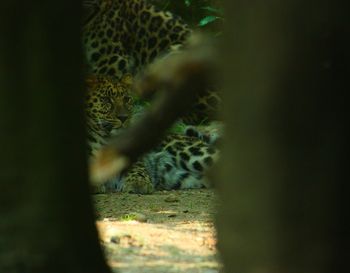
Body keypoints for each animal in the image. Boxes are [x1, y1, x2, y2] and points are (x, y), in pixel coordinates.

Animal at [85, 74, 220, 193]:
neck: (107, 138)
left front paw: (139, 182)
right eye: (106, 100)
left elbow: (137, 168)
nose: (123, 117)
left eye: (126, 99)